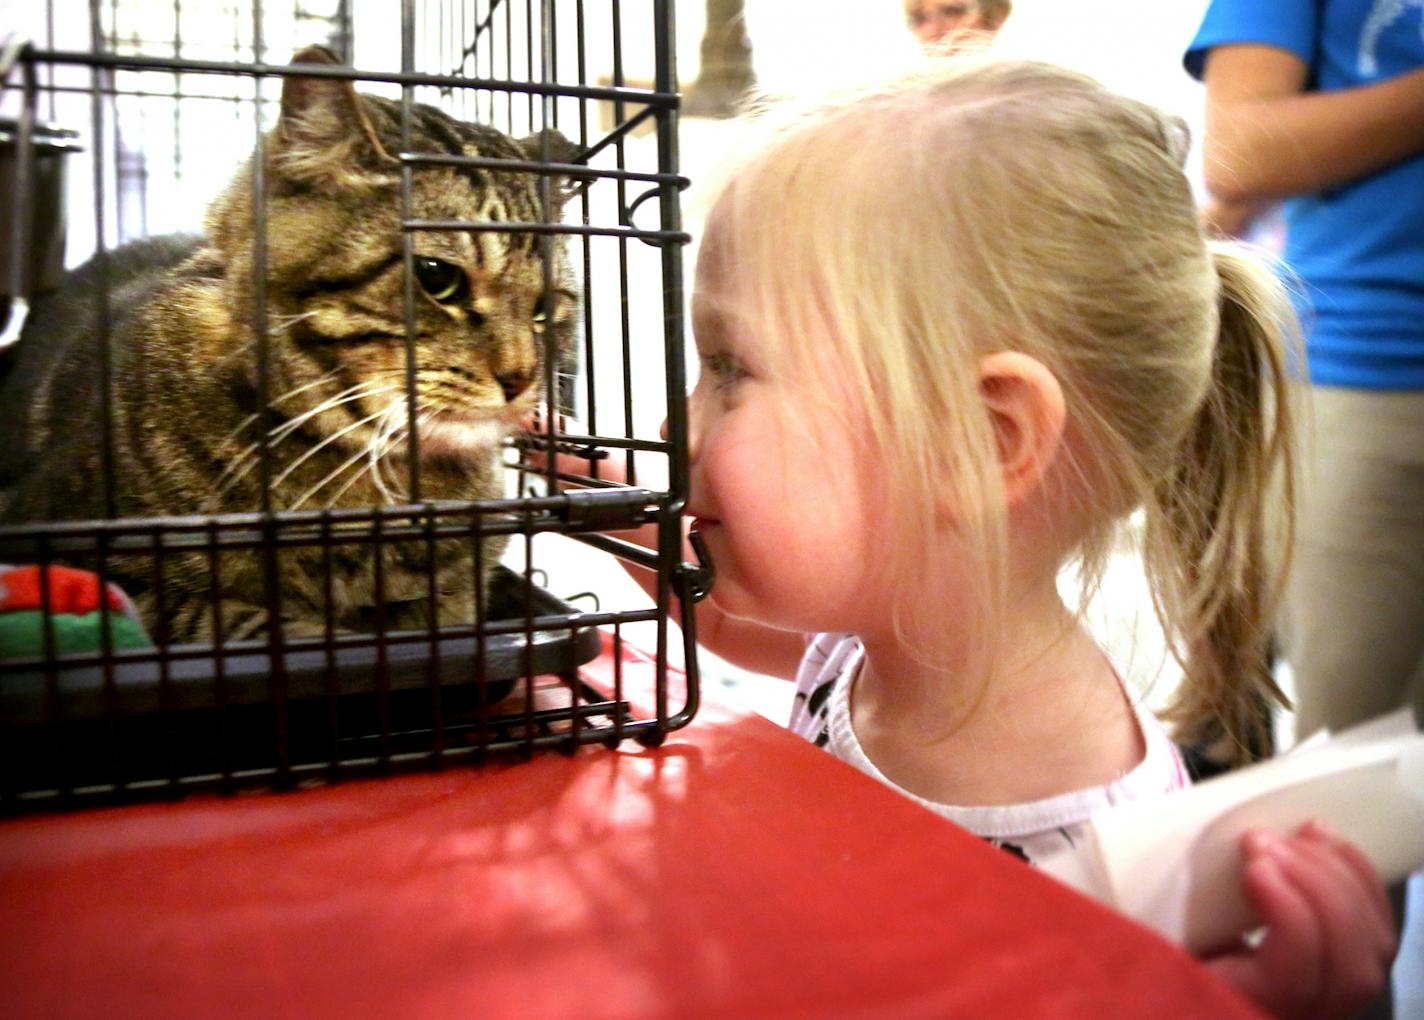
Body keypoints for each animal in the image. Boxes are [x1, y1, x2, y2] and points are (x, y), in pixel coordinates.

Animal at [1, 47, 578, 641]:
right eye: (437, 277)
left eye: (545, 308)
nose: (521, 378)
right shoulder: (68, 556)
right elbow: (238, 620)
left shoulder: (459, 594)